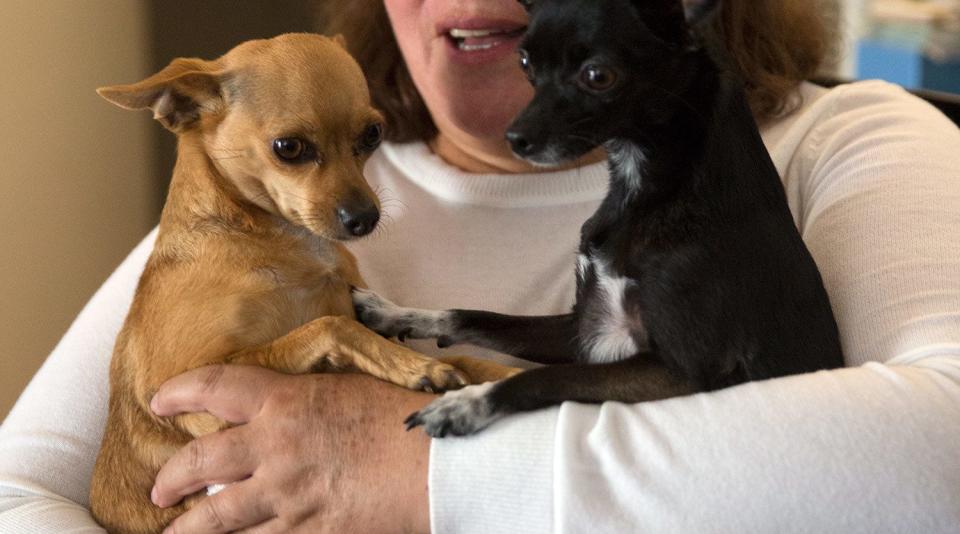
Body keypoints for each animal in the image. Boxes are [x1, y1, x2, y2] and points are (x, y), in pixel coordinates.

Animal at [90, 35, 516, 532]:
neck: (288, 246)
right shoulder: (184, 386)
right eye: (288, 147)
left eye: (372, 135)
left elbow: (459, 356)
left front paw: (503, 376)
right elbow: (332, 325)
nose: (365, 217)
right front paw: (416, 367)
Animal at [352, 0, 840, 438]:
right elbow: (473, 315)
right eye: (525, 63)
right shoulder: (581, 329)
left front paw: (470, 402)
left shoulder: (683, 372)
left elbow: (542, 377)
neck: (640, 186)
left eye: (598, 76)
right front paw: (396, 312)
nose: (515, 138)